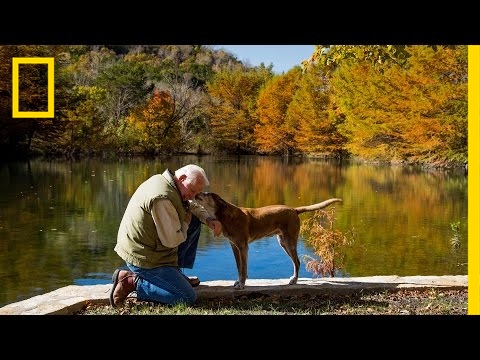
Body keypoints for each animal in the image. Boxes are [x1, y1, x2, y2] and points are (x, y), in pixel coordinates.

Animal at [193, 191, 344, 290]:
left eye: (207, 194)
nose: (196, 193)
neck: (226, 215)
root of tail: (294, 209)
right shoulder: (234, 246)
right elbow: (239, 267)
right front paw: (238, 281)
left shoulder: (243, 247)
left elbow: (244, 268)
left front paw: (241, 284)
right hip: (283, 242)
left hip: (289, 241)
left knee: (297, 262)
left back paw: (294, 280)